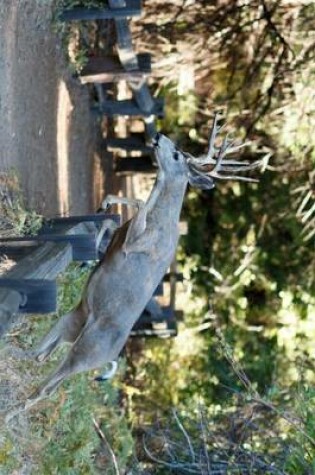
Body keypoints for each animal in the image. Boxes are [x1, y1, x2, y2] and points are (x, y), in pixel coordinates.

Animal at [28, 115, 262, 402]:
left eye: (176, 154)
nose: (158, 135)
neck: (160, 221)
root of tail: (108, 355)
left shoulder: (135, 245)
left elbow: (138, 202)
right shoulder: (119, 238)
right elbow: (111, 220)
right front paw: (101, 211)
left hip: (85, 352)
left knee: (45, 388)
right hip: (74, 323)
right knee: (44, 358)